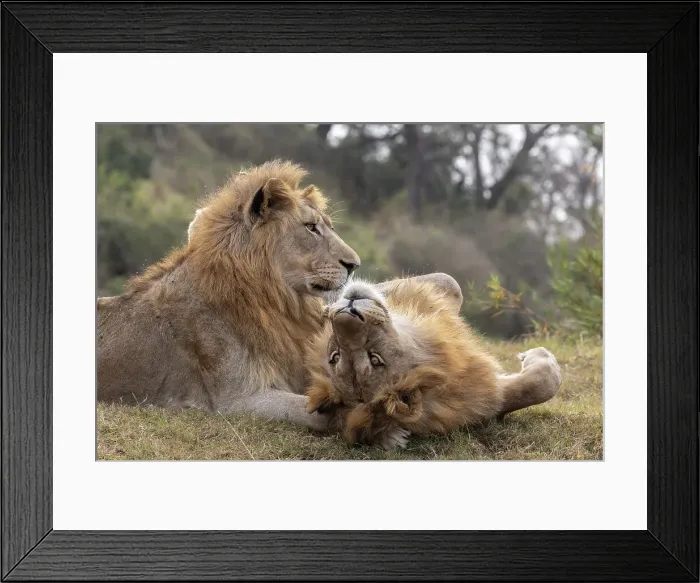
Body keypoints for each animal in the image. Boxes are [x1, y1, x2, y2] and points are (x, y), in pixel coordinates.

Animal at [97, 160, 360, 431]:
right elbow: (318, 414)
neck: (274, 300)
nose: (354, 265)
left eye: (329, 227)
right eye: (310, 227)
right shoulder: (236, 400)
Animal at [304, 274, 562, 447]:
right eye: (375, 358)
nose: (348, 311)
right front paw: (540, 355)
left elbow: (530, 389)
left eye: (334, 356)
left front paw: (328, 306)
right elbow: (547, 381)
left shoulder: (485, 393)